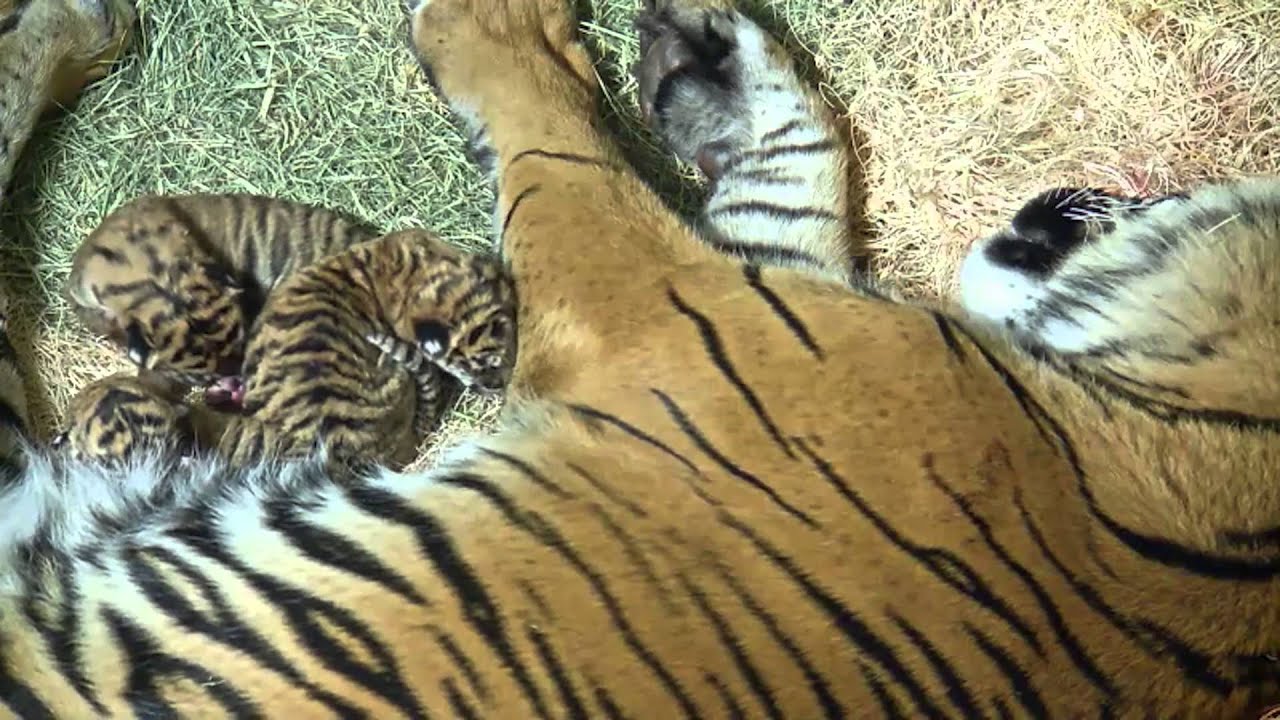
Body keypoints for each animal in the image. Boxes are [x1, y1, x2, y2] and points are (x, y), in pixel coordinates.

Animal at [1, 0, 1279, 718]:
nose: (1081, 192)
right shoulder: (758, 278)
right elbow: (800, 150)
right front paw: (706, 57)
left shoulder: (668, 306)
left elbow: (549, 138)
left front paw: (488, 18)